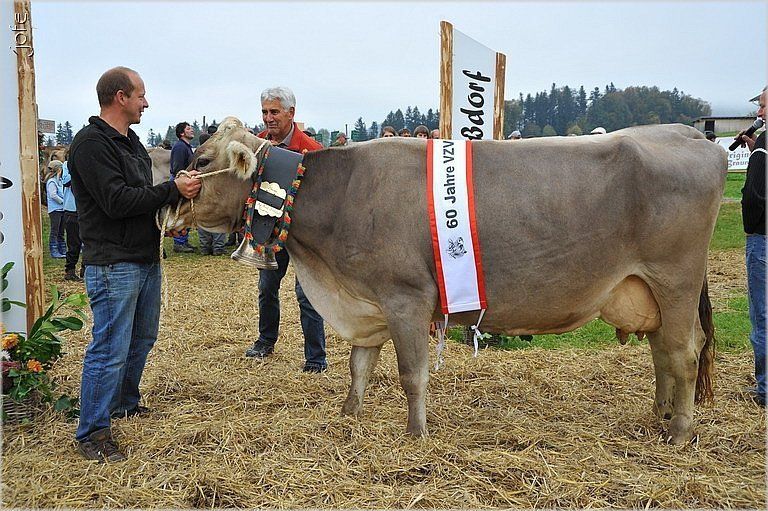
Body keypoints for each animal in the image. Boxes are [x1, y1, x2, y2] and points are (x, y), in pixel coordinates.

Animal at [161, 117, 727, 445]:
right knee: (662, 351)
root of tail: (692, 134)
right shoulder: (366, 302)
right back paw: (657, 415)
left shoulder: (406, 298)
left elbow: (411, 373)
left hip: (675, 279)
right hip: (646, 289)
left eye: (203, 160)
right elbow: (359, 366)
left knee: (684, 353)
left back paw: (679, 432)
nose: (168, 199)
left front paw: (416, 434)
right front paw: (349, 415)